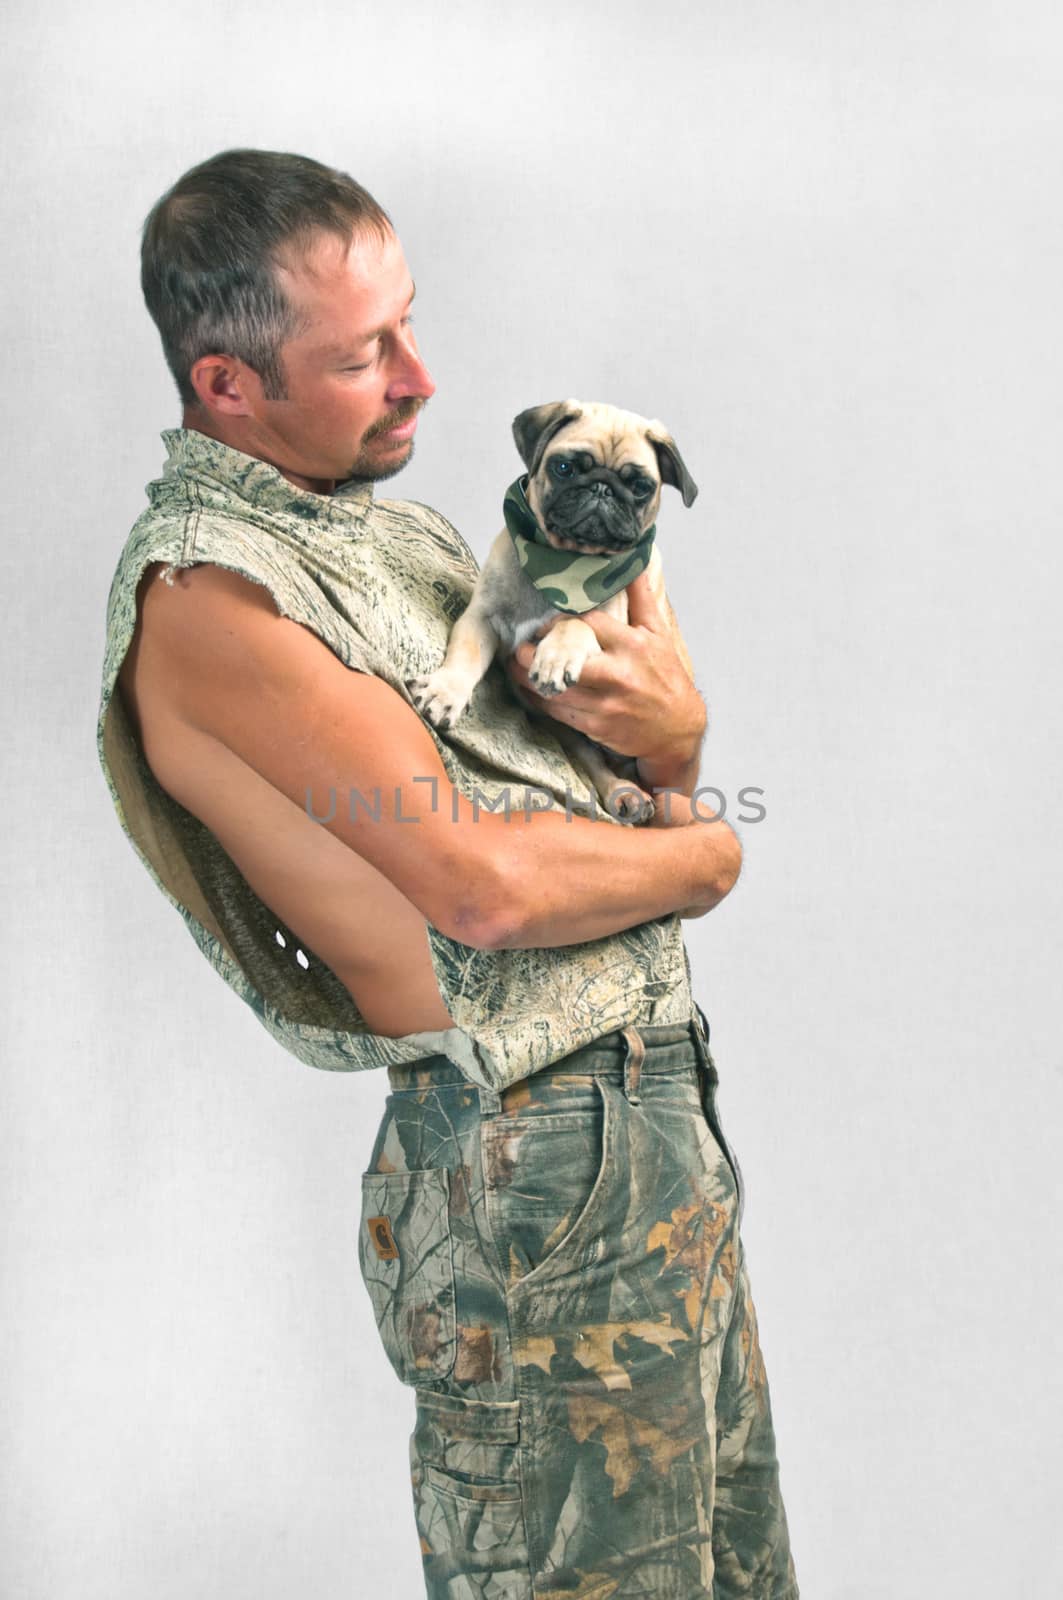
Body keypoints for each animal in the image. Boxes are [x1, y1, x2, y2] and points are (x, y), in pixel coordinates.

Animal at [405, 400, 697, 825]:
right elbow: (465, 657)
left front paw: (556, 657)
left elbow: (576, 623)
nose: (602, 488)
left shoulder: (610, 624)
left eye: (641, 487)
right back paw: (623, 792)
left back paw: (628, 794)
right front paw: (445, 692)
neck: (567, 558)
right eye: (564, 468)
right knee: (594, 761)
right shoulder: (481, 618)